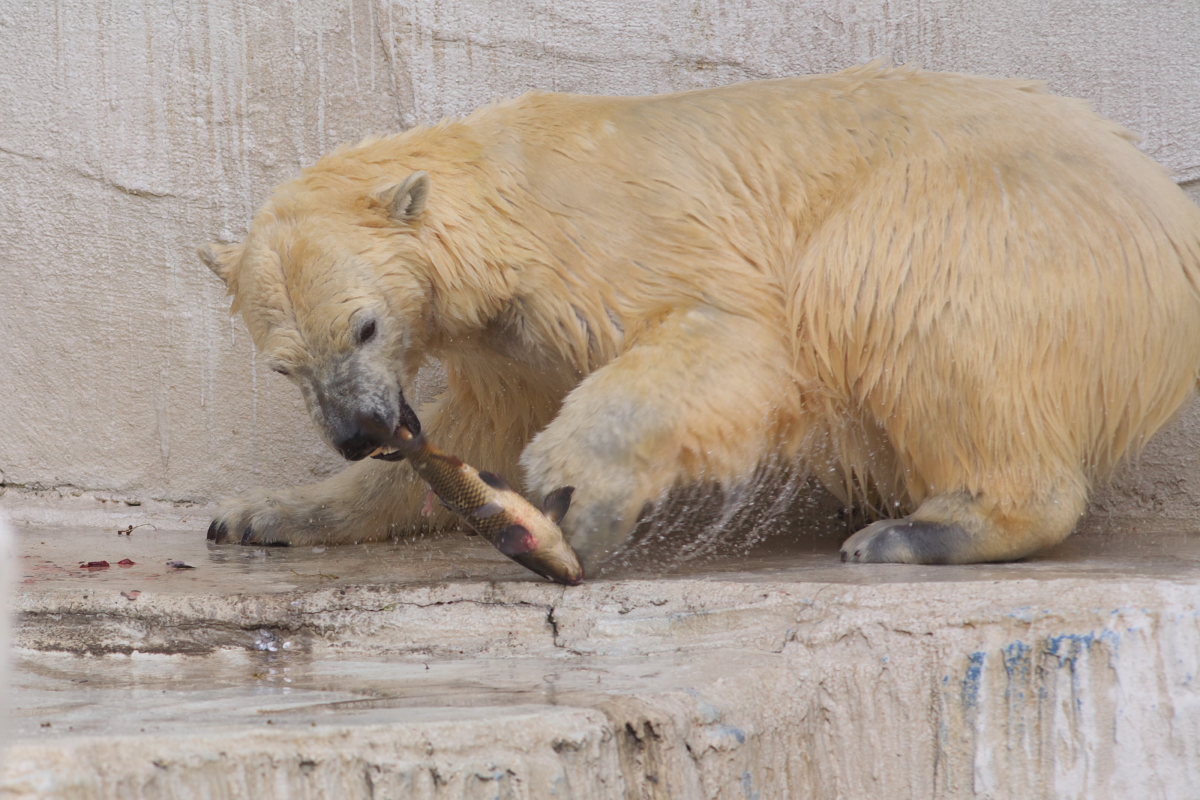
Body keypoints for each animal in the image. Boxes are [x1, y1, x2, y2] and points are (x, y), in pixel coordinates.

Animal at [201, 67, 1200, 568]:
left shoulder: (607, 239)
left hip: (982, 222)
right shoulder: (509, 336)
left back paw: (916, 531)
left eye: (365, 327)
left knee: (897, 302)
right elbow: (483, 420)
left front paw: (577, 493)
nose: (360, 430)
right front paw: (261, 513)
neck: (508, 195)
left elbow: (733, 337)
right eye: (286, 364)